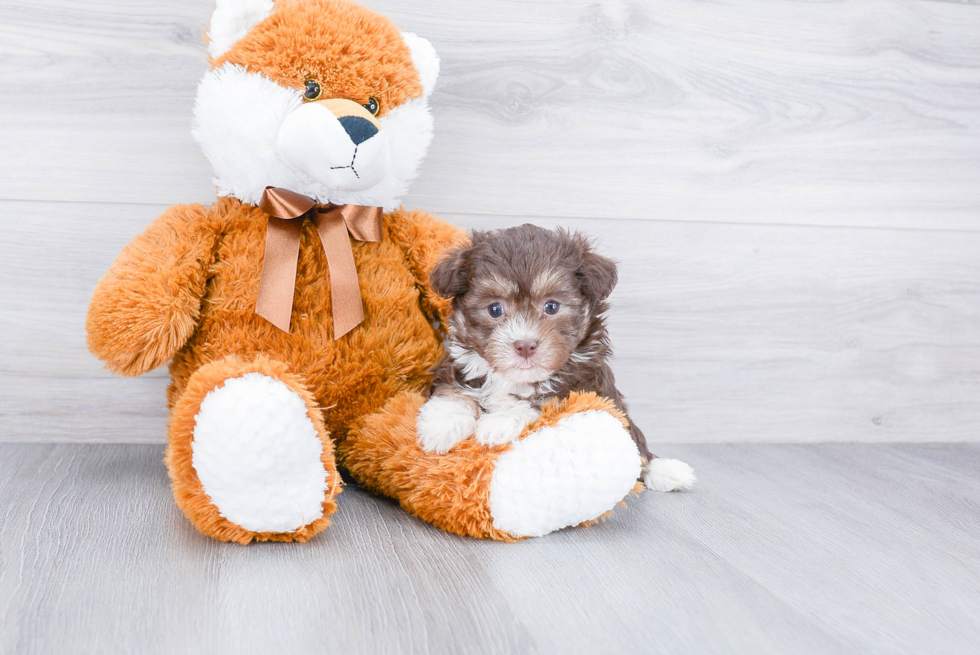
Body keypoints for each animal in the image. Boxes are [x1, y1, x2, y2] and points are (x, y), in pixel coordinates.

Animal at [418, 226, 692, 492]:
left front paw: (497, 423)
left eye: (552, 307)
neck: (515, 380)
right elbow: (454, 391)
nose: (525, 345)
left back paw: (665, 470)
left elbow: (541, 403)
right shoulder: (459, 365)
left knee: (637, 445)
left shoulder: (583, 387)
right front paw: (441, 426)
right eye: (495, 309)